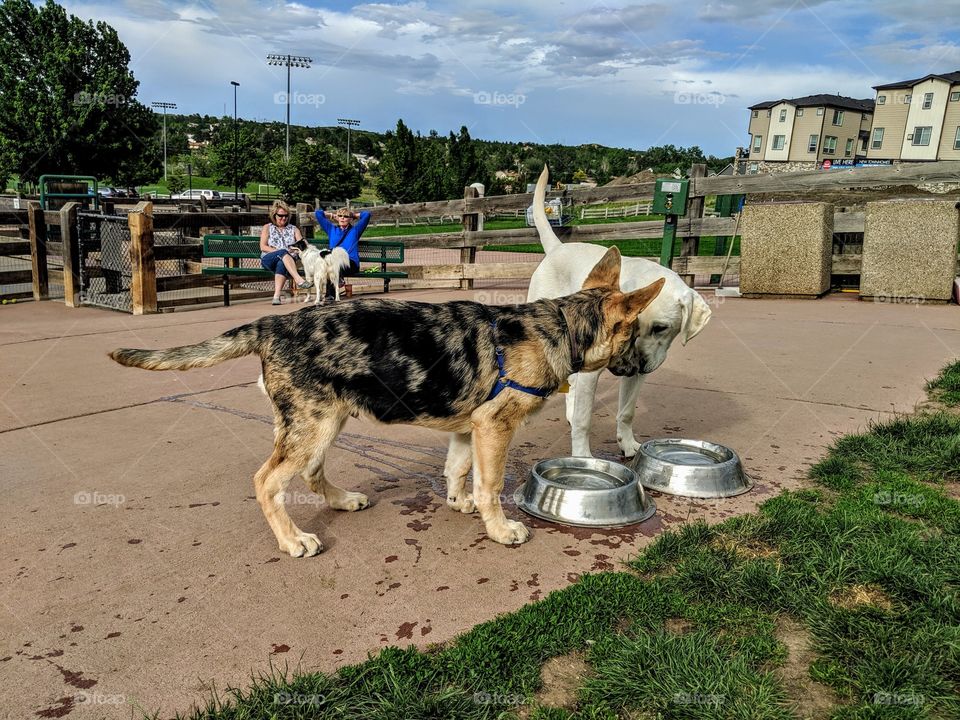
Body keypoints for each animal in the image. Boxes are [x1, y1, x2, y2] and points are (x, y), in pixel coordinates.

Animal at [110, 248, 660, 556]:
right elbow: (490, 484)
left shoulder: (470, 428)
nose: (642, 369)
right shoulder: (495, 428)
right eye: (635, 334)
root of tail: (268, 324)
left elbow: (458, 470)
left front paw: (458, 503)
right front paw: (500, 530)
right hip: (313, 426)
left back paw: (340, 501)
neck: (560, 326)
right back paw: (293, 541)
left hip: (321, 424)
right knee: (268, 482)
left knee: (310, 472)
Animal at [528, 169, 708, 456]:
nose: (635, 365)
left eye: (661, 328)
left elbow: (627, 412)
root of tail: (558, 247)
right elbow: (584, 419)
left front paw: (628, 443)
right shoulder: (591, 373)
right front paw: (582, 457)